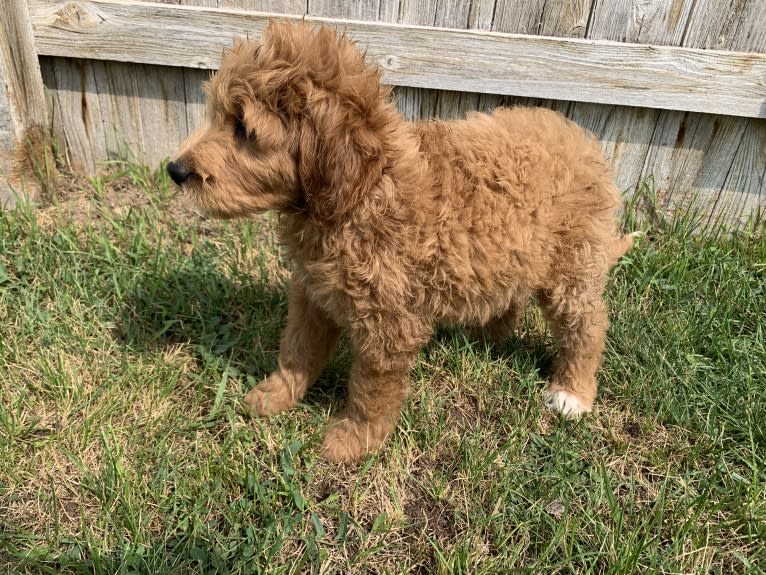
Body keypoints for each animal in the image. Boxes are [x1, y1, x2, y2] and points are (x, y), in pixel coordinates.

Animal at [171, 21, 640, 464]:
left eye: (244, 130)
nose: (175, 170)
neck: (364, 191)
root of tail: (587, 145)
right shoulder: (312, 293)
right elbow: (297, 350)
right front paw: (274, 395)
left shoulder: (388, 323)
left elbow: (370, 389)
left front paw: (352, 441)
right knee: (512, 296)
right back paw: (486, 339)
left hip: (572, 267)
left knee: (587, 326)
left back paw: (572, 394)